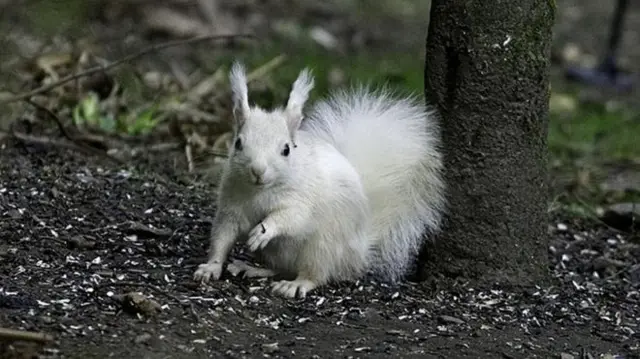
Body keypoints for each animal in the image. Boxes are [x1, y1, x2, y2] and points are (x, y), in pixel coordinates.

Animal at [194, 61, 444, 298]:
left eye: (286, 149)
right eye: (238, 143)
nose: (258, 170)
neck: (260, 191)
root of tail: (358, 253)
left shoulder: (302, 200)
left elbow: (291, 218)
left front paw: (263, 230)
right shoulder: (231, 207)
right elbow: (221, 238)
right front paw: (210, 268)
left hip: (322, 247)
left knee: (314, 275)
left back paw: (294, 285)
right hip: (279, 253)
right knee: (281, 269)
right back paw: (253, 268)